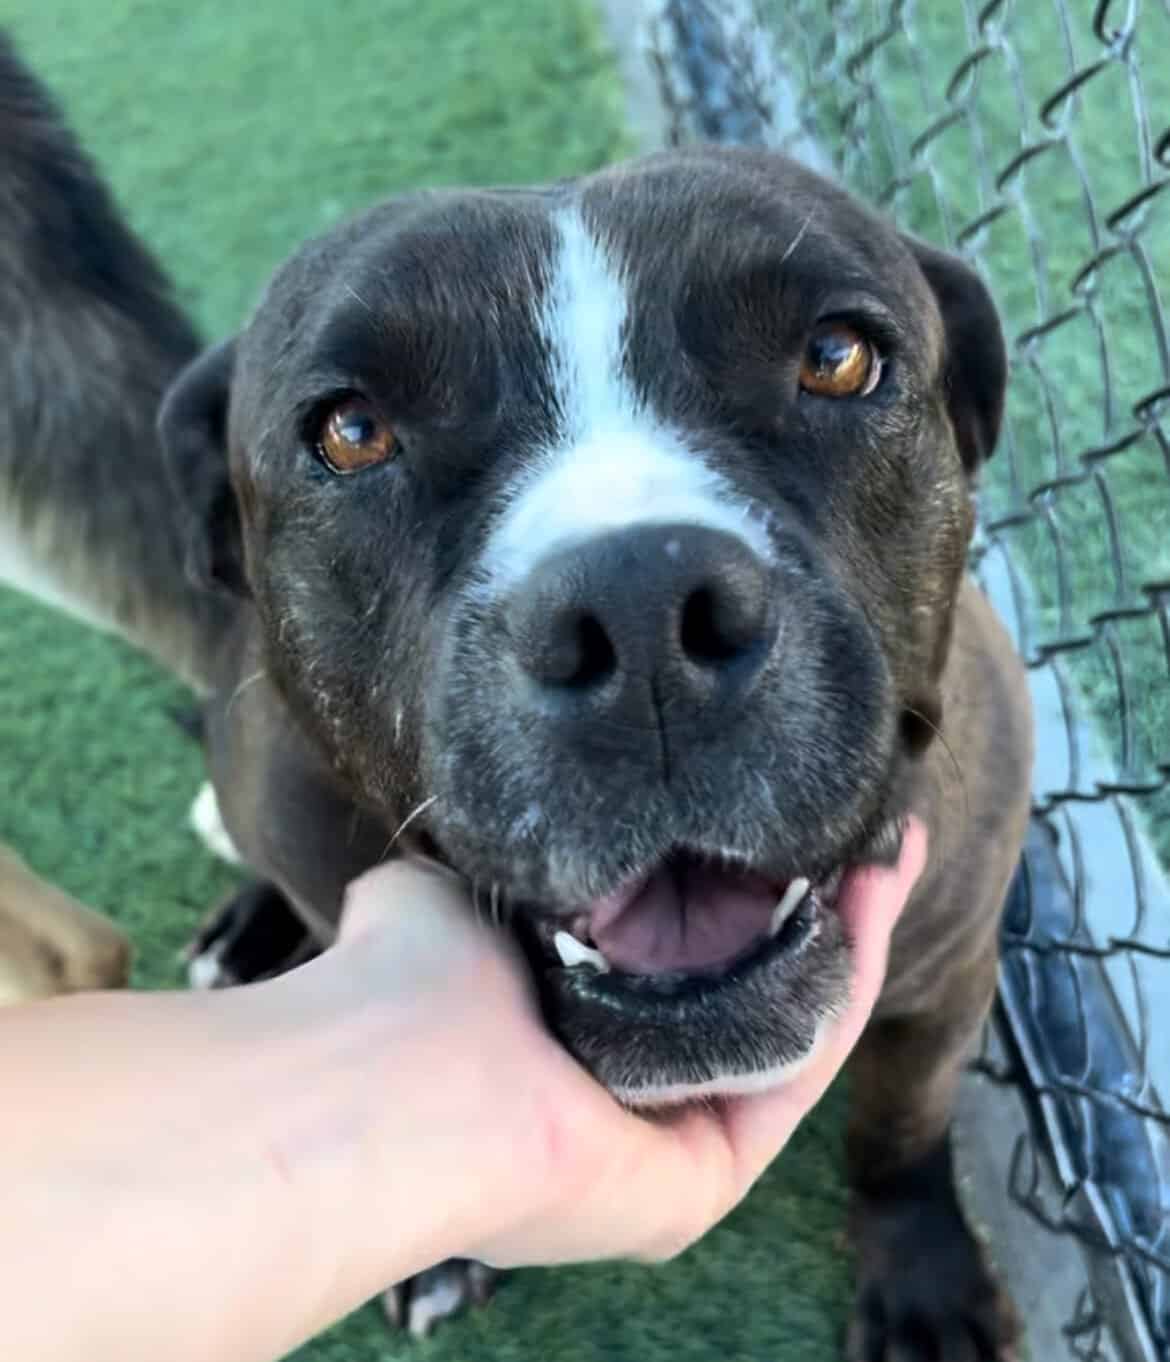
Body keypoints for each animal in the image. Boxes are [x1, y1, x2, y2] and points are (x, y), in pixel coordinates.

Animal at [151, 146, 1029, 1351]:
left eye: (837, 357)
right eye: (350, 431)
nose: (641, 612)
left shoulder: (950, 967)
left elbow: (901, 1129)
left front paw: (924, 1278)